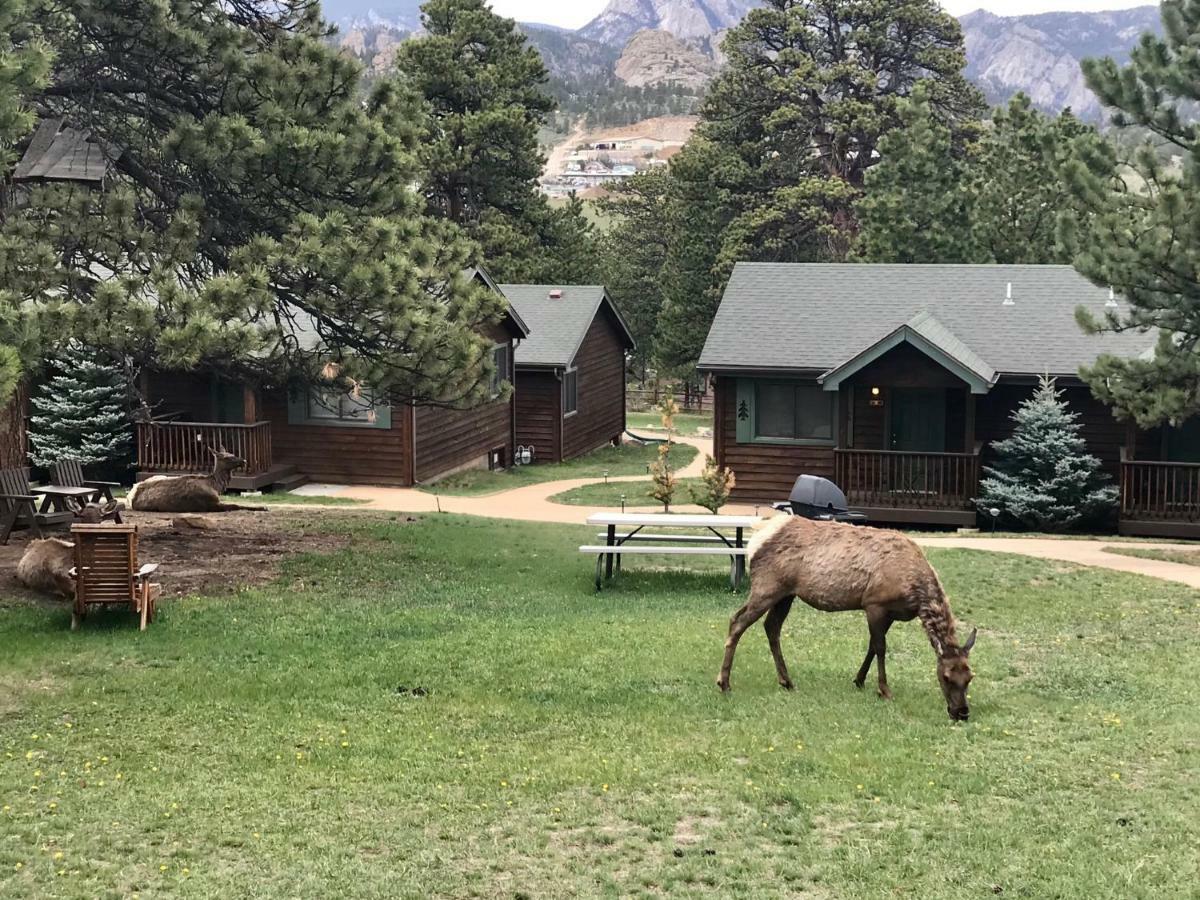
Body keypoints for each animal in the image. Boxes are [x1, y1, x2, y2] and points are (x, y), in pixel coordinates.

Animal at [126, 446, 262, 511]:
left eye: (232, 453)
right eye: (227, 457)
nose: (244, 460)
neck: (215, 486)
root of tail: (132, 497)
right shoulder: (211, 504)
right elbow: (236, 505)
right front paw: (261, 507)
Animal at [710, 518, 974, 724]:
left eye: (970, 677)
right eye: (946, 676)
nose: (962, 713)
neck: (915, 596)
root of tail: (754, 541)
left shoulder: (889, 613)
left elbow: (872, 646)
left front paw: (859, 680)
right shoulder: (874, 603)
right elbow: (880, 647)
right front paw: (884, 690)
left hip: (786, 594)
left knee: (771, 627)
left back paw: (786, 681)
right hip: (767, 586)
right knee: (737, 621)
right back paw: (724, 683)